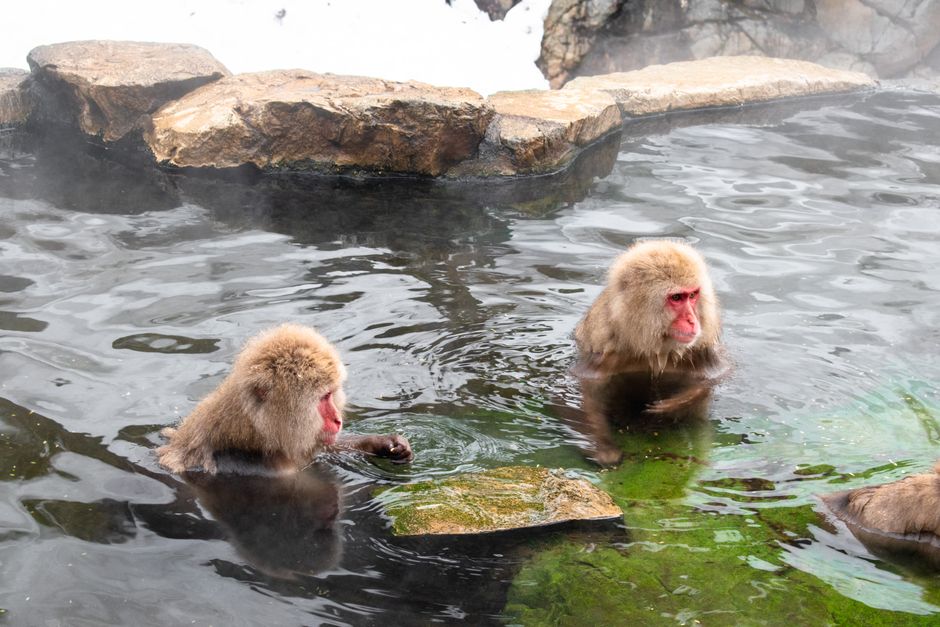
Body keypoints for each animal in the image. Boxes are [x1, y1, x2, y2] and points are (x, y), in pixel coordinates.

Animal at [569, 239, 728, 466]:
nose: (692, 320)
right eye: (676, 298)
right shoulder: (605, 353)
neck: (650, 345)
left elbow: (717, 375)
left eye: (692, 295)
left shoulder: (700, 347)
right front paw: (604, 448)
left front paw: (676, 403)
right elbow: (589, 393)